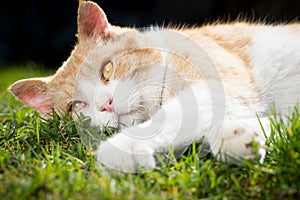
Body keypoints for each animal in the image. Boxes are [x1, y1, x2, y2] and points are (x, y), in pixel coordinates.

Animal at [8, 0, 300, 172]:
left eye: (107, 69)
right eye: (76, 106)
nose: (106, 104)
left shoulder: (219, 85)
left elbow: (174, 114)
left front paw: (121, 148)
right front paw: (242, 137)